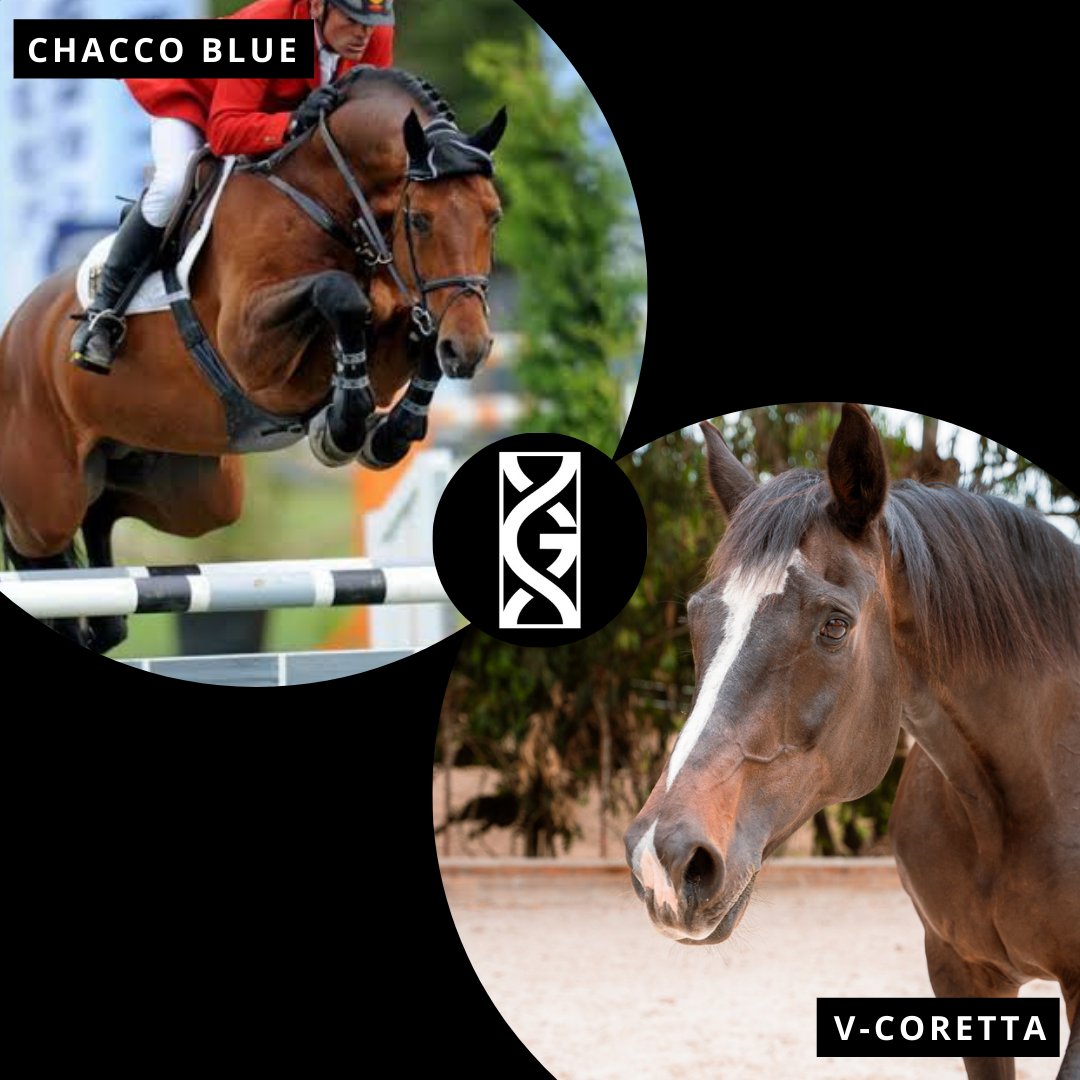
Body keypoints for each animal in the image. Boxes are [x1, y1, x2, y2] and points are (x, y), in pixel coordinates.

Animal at [0, 67, 506, 654]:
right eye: (420, 221)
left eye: (493, 216)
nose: (471, 349)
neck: (323, 198)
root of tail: (15, 329)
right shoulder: (252, 351)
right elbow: (341, 295)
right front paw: (343, 425)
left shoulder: (402, 313)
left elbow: (413, 331)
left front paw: (388, 431)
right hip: (45, 497)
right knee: (37, 548)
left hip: (194, 493)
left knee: (102, 508)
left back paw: (105, 621)